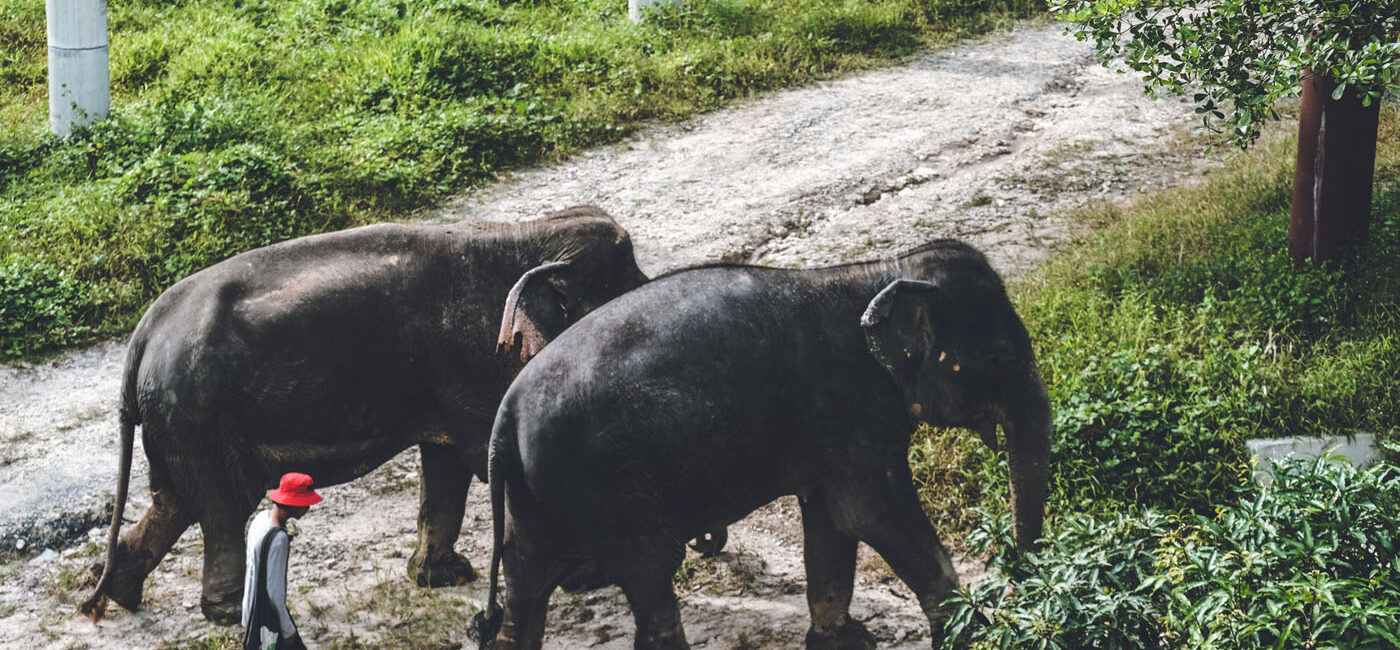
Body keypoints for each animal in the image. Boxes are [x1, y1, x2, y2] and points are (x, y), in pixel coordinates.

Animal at [78, 208, 644, 624]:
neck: (527, 234)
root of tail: (142, 337)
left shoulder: (443, 377)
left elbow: (446, 464)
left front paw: (440, 577)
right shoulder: (473, 358)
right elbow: (483, 457)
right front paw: (587, 576)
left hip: (178, 421)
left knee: (175, 501)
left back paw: (119, 594)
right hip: (197, 412)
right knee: (221, 506)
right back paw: (228, 614)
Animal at [473, 239, 1052, 650]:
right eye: (999, 358)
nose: (1017, 585)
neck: (881, 271)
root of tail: (505, 416)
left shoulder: (828, 433)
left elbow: (833, 522)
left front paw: (840, 642)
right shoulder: (849, 408)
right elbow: (870, 514)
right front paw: (973, 635)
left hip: (538, 493)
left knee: (526, 581)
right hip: (605, 488)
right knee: (650, 575)